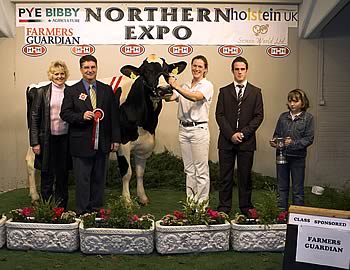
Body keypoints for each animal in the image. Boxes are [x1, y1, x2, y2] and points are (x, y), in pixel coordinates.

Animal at [116, 54, 187, 205]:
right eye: (145, 72)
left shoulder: (145, 144)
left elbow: (140, 172)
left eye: (166, 69)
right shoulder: (122, 142)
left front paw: (142, 197)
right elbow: (127, 172)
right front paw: (127, 200)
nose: (164, 89)